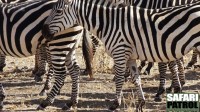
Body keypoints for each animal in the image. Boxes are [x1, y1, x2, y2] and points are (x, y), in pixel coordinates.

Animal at [42, 0, 200, 110]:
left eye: (59, 11)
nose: (43, 32)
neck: (109, 24)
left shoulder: (119, 53)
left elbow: (118, 79)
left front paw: (115, 104)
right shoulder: (129, 57)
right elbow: (136, 79)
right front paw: (141, 102)